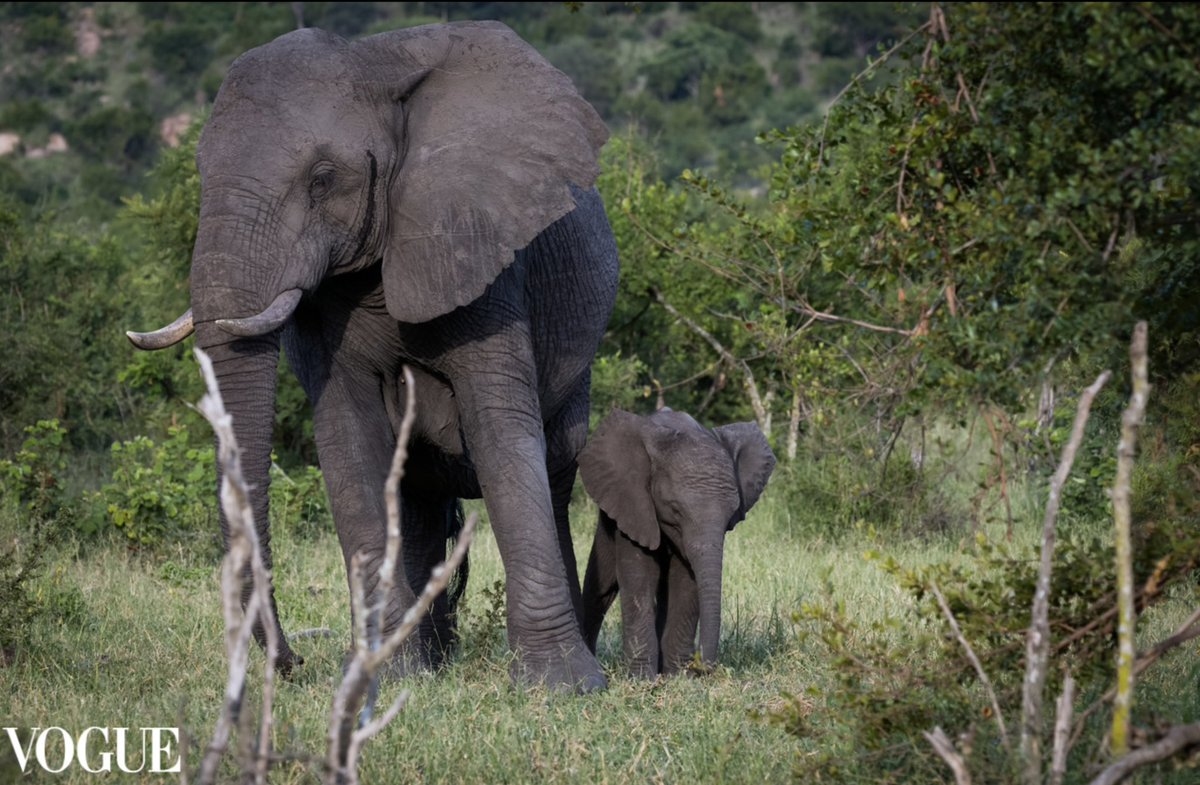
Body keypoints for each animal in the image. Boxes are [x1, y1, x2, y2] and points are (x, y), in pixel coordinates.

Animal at [126, 19, 619, 696]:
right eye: (199, 173)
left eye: (323, 177)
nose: (288, 663)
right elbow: (350, 443)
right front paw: (384, 681)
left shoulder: (481, 249)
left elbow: (501, 436)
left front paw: (563, 688)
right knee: (415, 498)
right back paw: (429, 661)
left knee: (556, 467)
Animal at [578, 408, 777, 681]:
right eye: (674, 509)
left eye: (732, 515)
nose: (702, 667)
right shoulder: (634, 504)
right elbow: (640, 576)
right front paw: (642, 680)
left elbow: (686, 581)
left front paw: (680, 678)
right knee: (602, 589)